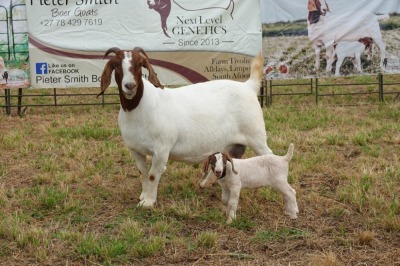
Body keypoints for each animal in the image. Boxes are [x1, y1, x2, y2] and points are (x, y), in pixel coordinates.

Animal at [99, 48, 274, 210]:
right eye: (116, 65)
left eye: (139, 64)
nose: (130, 86)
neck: (140, 107)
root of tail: (248, 86)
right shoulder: (135, 149)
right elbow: (143, 172)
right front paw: (143, 195)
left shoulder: (161, 149)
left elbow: (153, 175)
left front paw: (148, 202)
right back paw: (206, 183)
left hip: (256, 135)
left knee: (269, 155)